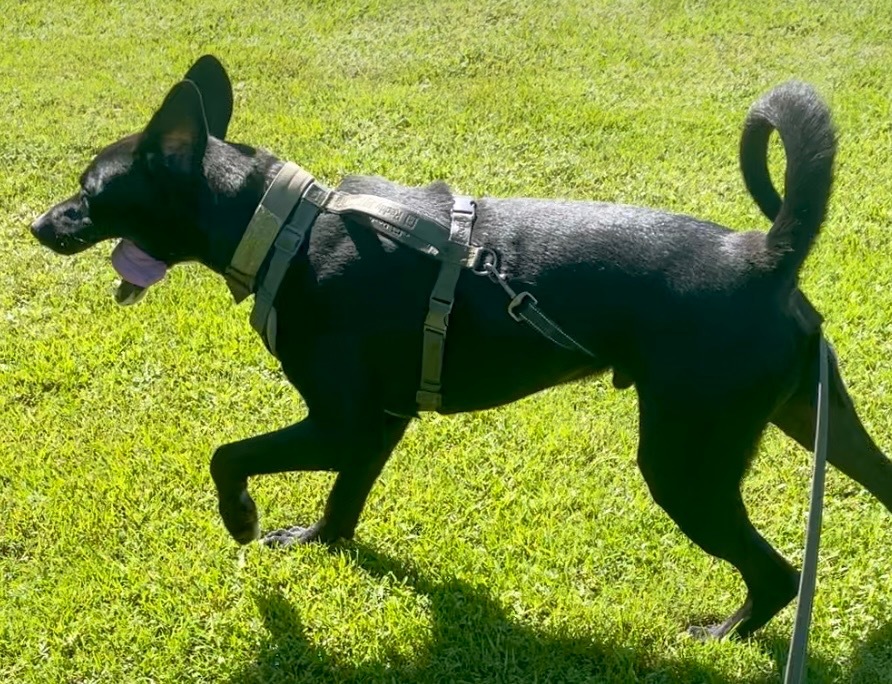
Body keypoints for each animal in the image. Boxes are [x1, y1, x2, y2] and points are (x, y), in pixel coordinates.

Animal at [31, 54, 892, 640]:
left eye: (91, 188)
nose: (38, 224)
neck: (283, 227)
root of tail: (766, 256)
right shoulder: (378, 422)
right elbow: (344, 499)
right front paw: (317, 542)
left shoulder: (339, 422)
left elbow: (227, 455)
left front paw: (242, 519)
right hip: (809, 416)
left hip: (687, 462)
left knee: (778, 574)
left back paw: (721, 633)